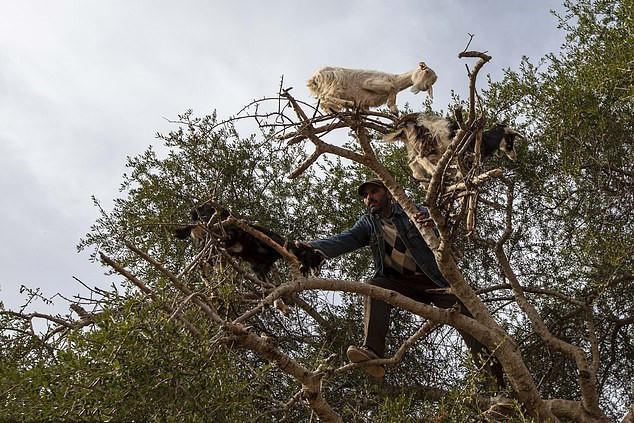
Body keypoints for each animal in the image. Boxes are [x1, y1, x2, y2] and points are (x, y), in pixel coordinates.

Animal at [304, 61, 434, 114]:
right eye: (426, 71)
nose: (423, 87)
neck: (396, 79)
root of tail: (314, 77)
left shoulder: (365, 103)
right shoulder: (371, 82)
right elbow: (390, 88)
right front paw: (393, 109)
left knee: (324, 102)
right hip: (336, 82)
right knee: (324, 96)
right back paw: (348, 103)